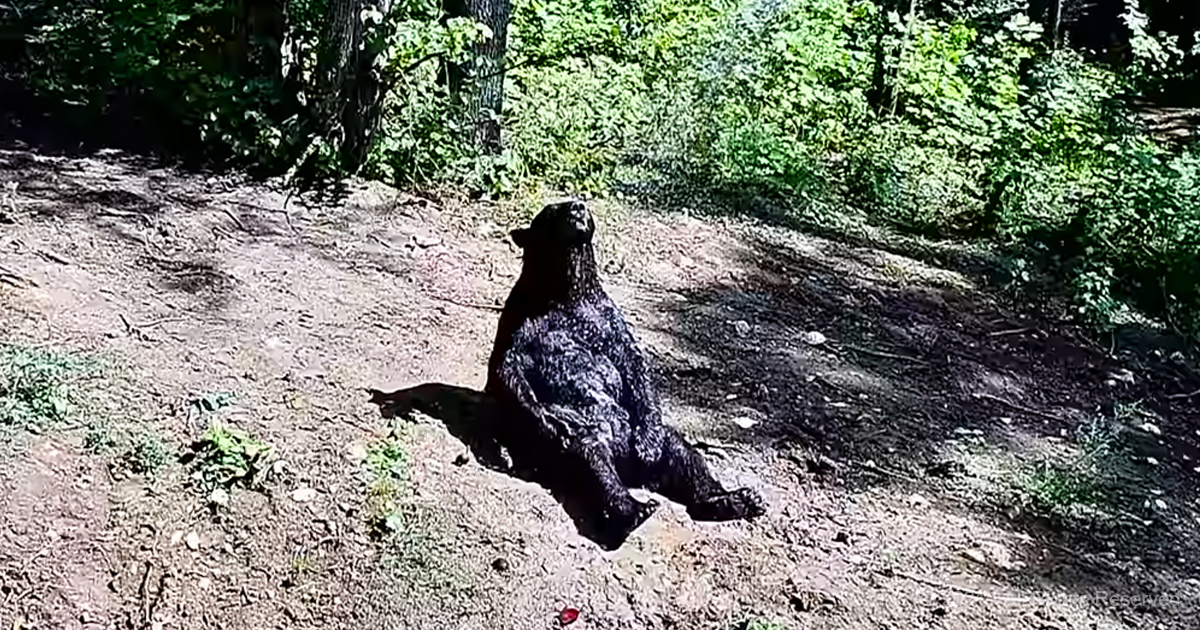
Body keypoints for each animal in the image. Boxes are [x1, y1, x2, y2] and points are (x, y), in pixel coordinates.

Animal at [485, 199, 766, 550]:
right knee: (590, 457)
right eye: (553, 209)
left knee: (682, 454)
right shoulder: (519, 318)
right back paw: (633, 509)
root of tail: (626, 465)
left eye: (577, 201)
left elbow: (635, 368)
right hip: (591, 432)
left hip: (635, 433)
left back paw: (735, 499)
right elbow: (506, 371)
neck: (564, 292)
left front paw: (648, 440)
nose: (577, 206)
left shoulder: (608, 320)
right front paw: (545, 420)